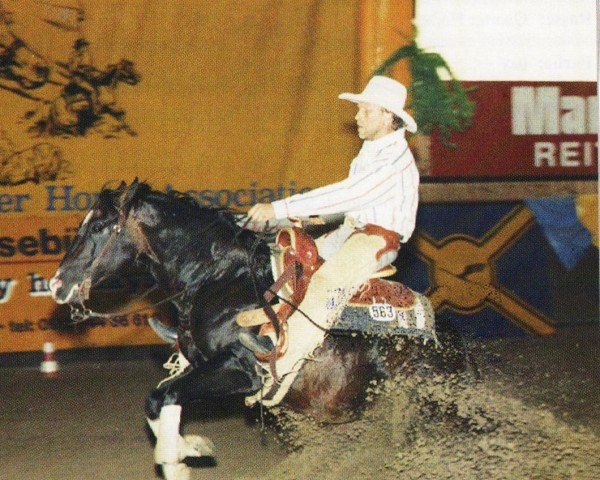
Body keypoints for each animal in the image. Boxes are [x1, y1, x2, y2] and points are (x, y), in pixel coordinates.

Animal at [49, 181, 466, 480]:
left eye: (98, 226)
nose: (56, 284)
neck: (220, 277)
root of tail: (449, 340)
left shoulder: (240, 370)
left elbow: (162, 395)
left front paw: (179, 459)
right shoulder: (198, 364)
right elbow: (162, 398)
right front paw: (192, 448)